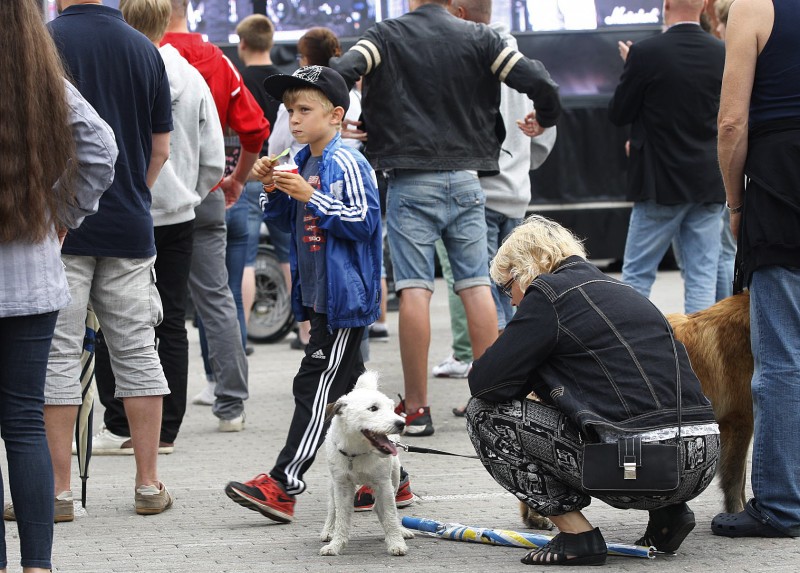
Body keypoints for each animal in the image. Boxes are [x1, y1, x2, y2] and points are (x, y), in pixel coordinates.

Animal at [320, 370, 416, 556]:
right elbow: (341, 516)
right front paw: (336, 545)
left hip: (394, 476)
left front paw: (396, 542)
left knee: (381, 507)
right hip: (332, 484)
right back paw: (328, 531)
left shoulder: (383, 483)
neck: (356, 453)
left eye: (391, 408)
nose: (401, 423)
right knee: (332, 508)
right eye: (373, 408)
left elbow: (390, 514)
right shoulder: (342, 485)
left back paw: (400, 530)